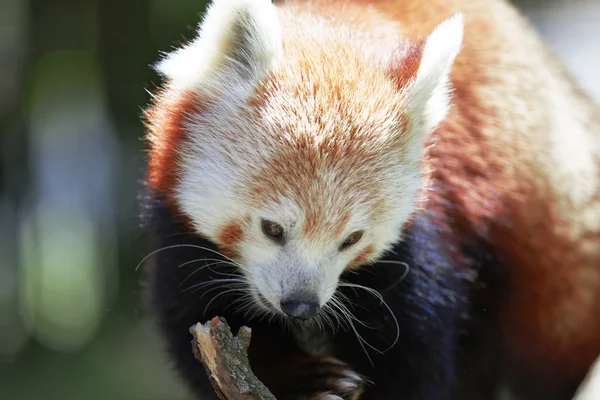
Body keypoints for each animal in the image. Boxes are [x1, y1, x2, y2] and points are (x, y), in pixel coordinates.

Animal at [143, 0, 600, 400]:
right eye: (272, 228)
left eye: (351, 239)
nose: (300, 305)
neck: (339, 28)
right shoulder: (178, 230)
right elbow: (199, 317)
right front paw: (308, 380)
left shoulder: (431, 228)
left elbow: (413, 355)